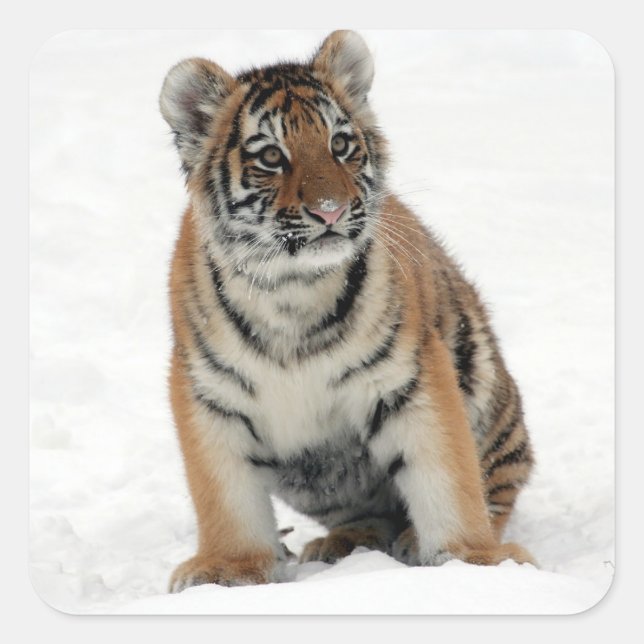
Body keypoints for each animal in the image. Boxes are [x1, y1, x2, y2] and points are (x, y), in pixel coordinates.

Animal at [159, 30, 535, 593]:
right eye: (271, 156)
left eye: (340, 144)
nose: (330, 210)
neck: (292, 289)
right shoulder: (209, 394)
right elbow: (224, 495)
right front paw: (228, 570)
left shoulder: (411, 380)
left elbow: (447, 477)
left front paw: (475, 562)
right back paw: (345, 543)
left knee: (493, 488)